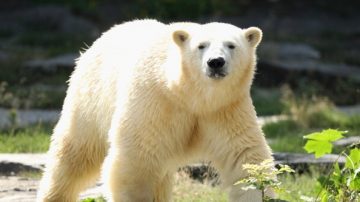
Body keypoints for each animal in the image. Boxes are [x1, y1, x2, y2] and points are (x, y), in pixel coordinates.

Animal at [36, 19, 272, 202]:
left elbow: (245, 159)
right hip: (91, 97)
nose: (216, 62)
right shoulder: (155, 103)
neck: (190, 95)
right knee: (75, 154)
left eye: (231, 45)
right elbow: (136, 160)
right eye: (201, 46)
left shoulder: (225, 109)